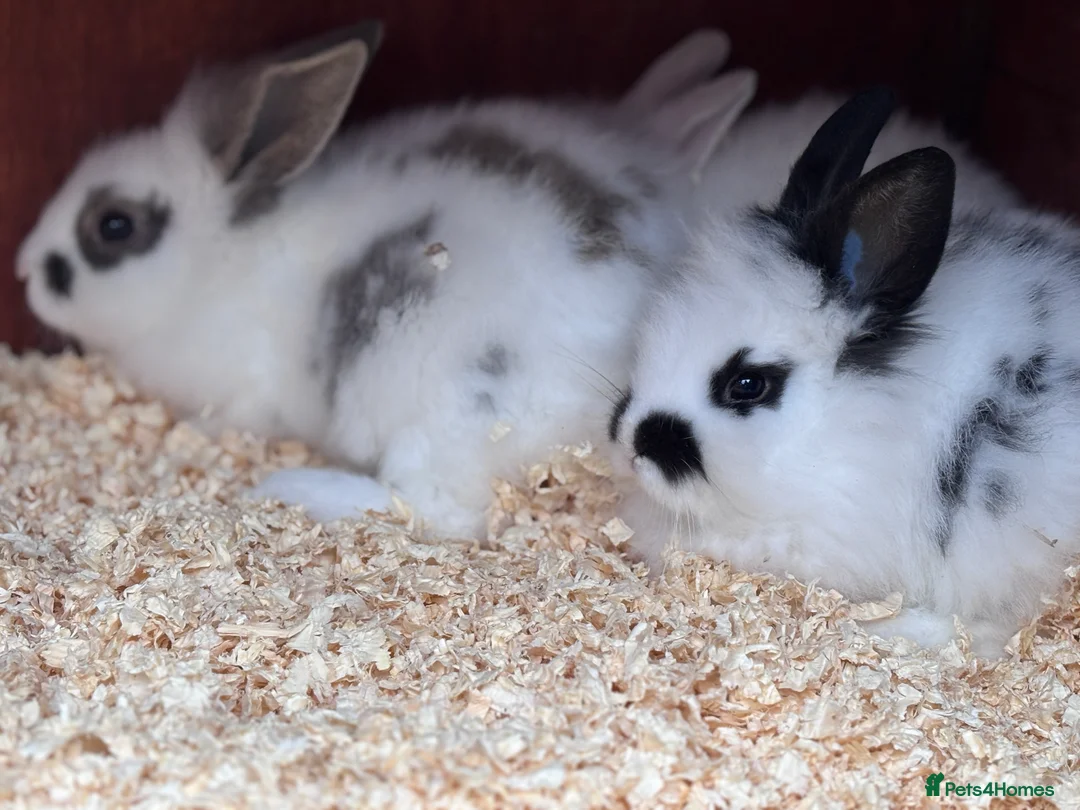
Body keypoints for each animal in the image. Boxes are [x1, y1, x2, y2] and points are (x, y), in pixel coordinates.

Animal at [16, 20, 758, 539]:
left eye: (114, 225)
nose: (24, 270)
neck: (219, 259)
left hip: (444, 411)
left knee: (431, 511)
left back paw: (290, 489)